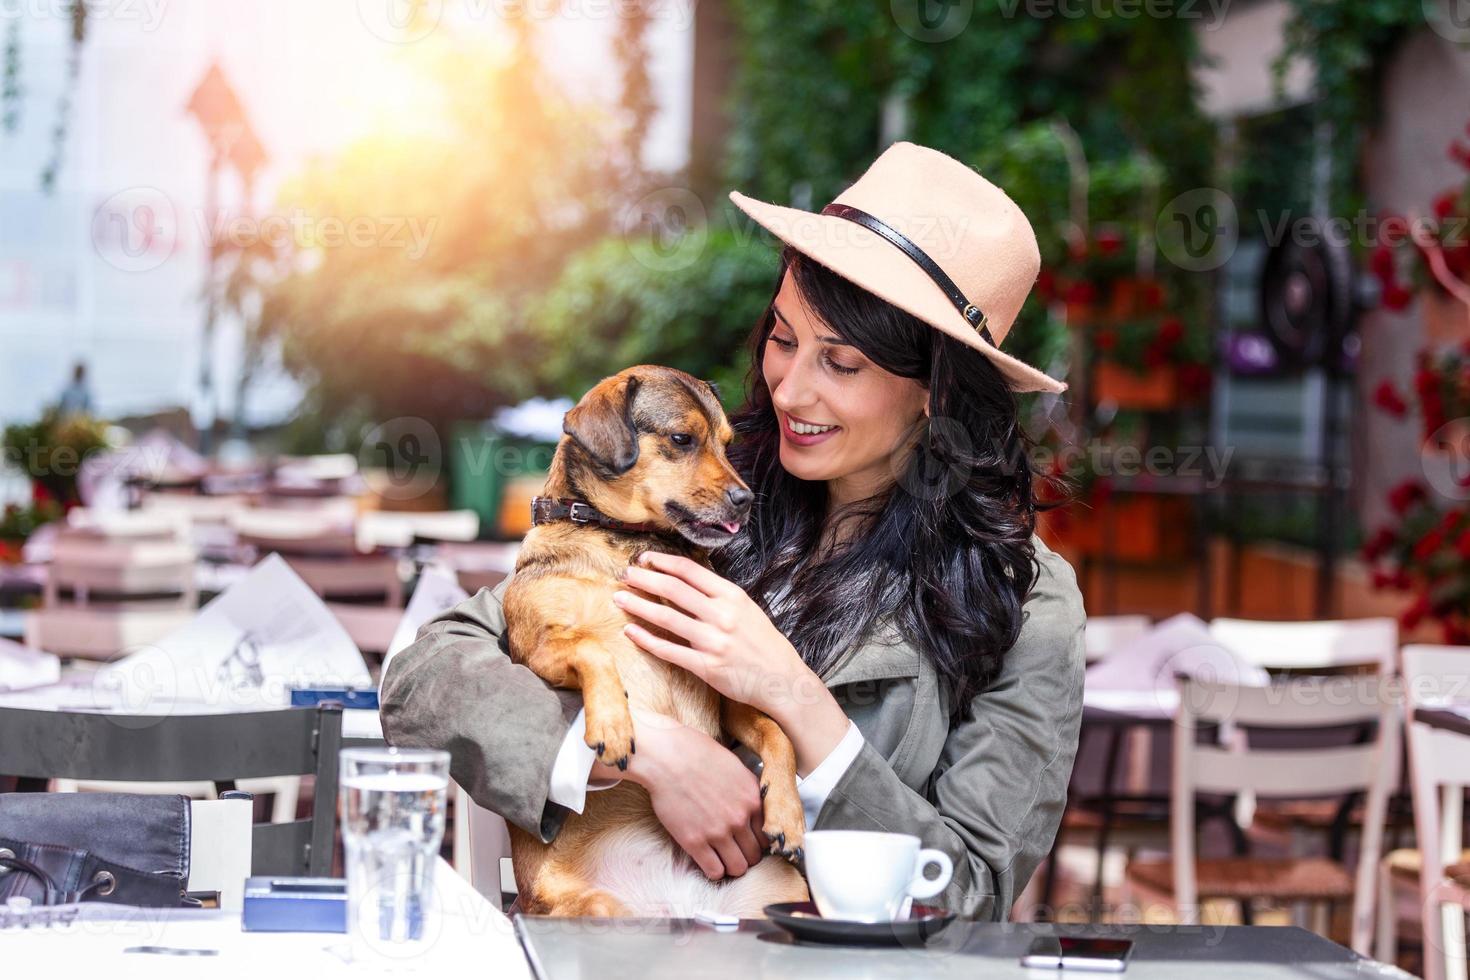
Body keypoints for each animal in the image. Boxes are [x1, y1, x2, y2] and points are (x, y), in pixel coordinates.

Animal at [502, 364, 805, 916]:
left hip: (781, 890)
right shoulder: (538, 651)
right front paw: (613, 723)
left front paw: (787, 814)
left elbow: (778, 731)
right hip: (594, 909)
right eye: (682, 439)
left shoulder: (725, 697)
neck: (628, 543)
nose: (746, 499)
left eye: (728, 445)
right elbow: (593, 647)